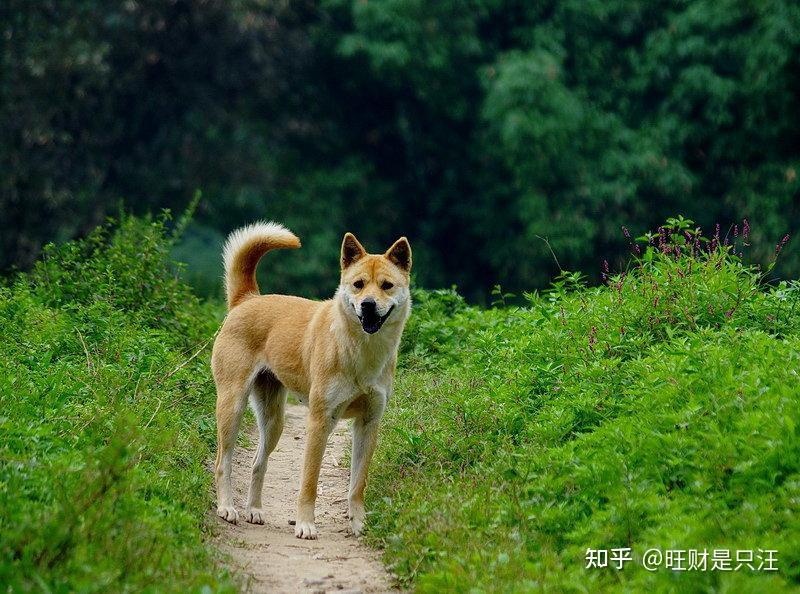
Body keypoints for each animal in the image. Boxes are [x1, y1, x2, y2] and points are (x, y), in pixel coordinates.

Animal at [212, 222, 412, 536]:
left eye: (386, 285)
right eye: (358, 284)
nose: (368, 305)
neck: (360, 352)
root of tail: (248, 299)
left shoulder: (368, 423)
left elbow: (358, 484)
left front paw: (359, 523)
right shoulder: (320, 421)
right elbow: (309, 482)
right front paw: (305, 524)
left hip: (273, 421)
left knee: (258, 464)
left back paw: (254, 510)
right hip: (232, 407)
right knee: (223, 462)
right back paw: (226, 507)